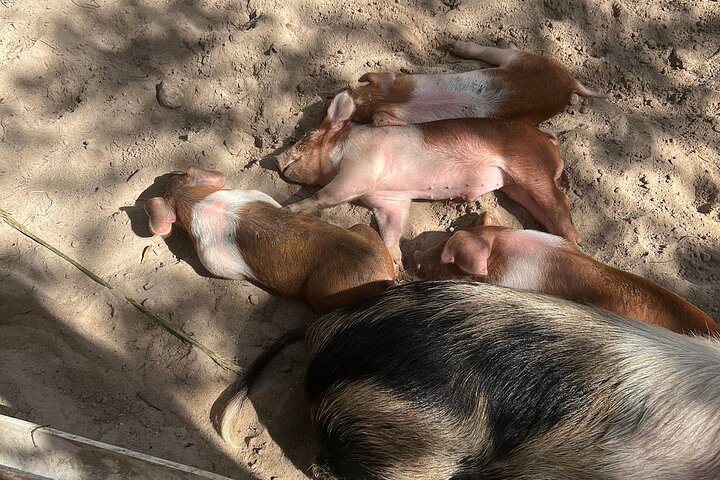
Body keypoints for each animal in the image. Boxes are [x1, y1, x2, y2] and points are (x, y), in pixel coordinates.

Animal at [144, 166, 395, 313]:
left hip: (325, 296)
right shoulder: (252, 193)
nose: (168, 174)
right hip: (364, 229)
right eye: (178, 177)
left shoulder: (213, 260)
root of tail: (384, 278)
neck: (194, 202)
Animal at [277, 91, 578, 266]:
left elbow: (327, 195)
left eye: (306, 136)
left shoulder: (361, 167)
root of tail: (548, 141)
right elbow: (392, 230)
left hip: (530, 167)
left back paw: (573, 244)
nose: (276, 160)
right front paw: (397, 265)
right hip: (516, 186)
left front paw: (288, 208)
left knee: (561, 204)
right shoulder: (391, 200)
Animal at [350, 40, 608, 127]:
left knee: (495, 51)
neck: (401, 100)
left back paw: (457, 46)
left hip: (521, 60)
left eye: (357, 118)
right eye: (357, 90)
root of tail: (569, 83)